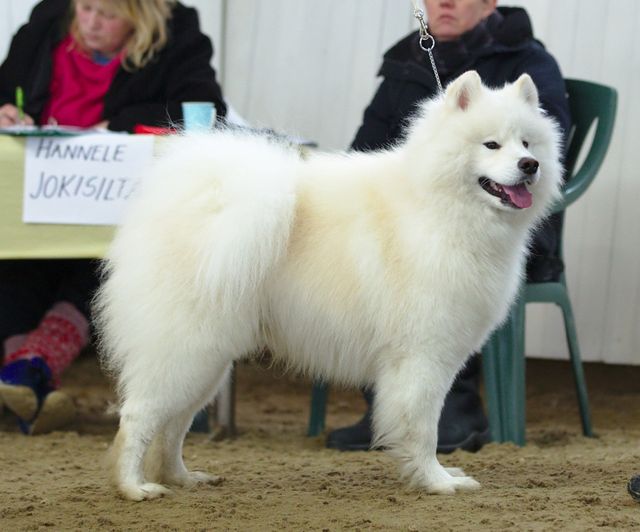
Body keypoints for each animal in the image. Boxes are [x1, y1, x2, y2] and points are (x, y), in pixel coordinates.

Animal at [94, 69, 560, 498]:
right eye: (491, 145)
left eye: (527, 144)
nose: (530, 166)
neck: (439, 208)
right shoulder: (422, 356)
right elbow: (423, 428)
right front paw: (437, 481)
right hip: (188, 349)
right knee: (138, 416)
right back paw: (134, 487)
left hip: (207, 360)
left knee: (174, 426)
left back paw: (182, 478)